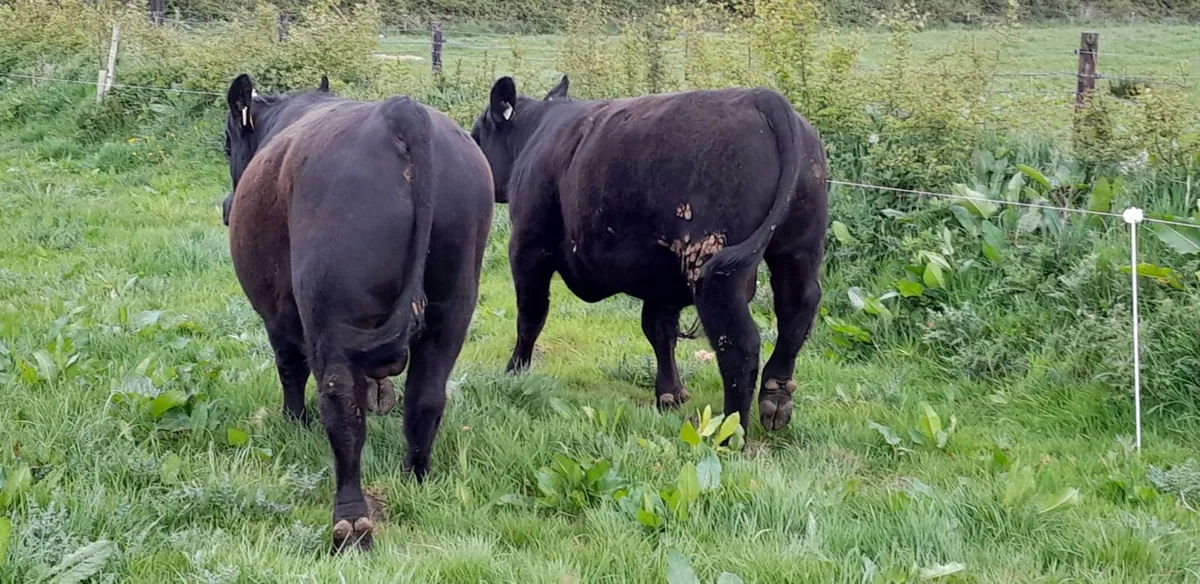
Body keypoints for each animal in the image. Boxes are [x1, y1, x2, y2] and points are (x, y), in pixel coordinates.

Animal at [222, 73, 494, 552]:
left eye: (225, 143)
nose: (225, 206)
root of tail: (400, 111)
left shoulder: (277, 315)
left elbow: (289, 369)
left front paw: (294, 422)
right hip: (455, 304)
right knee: (426, 397)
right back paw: (414, 477)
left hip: (330, 310)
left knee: (342, 406)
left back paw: (351, 521)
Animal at [470, 75, 827, 434]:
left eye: (477, 135)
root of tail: (762, 98)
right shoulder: (660, 277)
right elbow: (659, 330)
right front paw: (670, 394)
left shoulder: (528, 248)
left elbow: (530, 316)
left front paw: (514, 372)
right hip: (797, 251)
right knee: (796, 310)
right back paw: (776, 397)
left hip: (715, 273)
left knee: (740, 344)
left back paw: (728, 430)